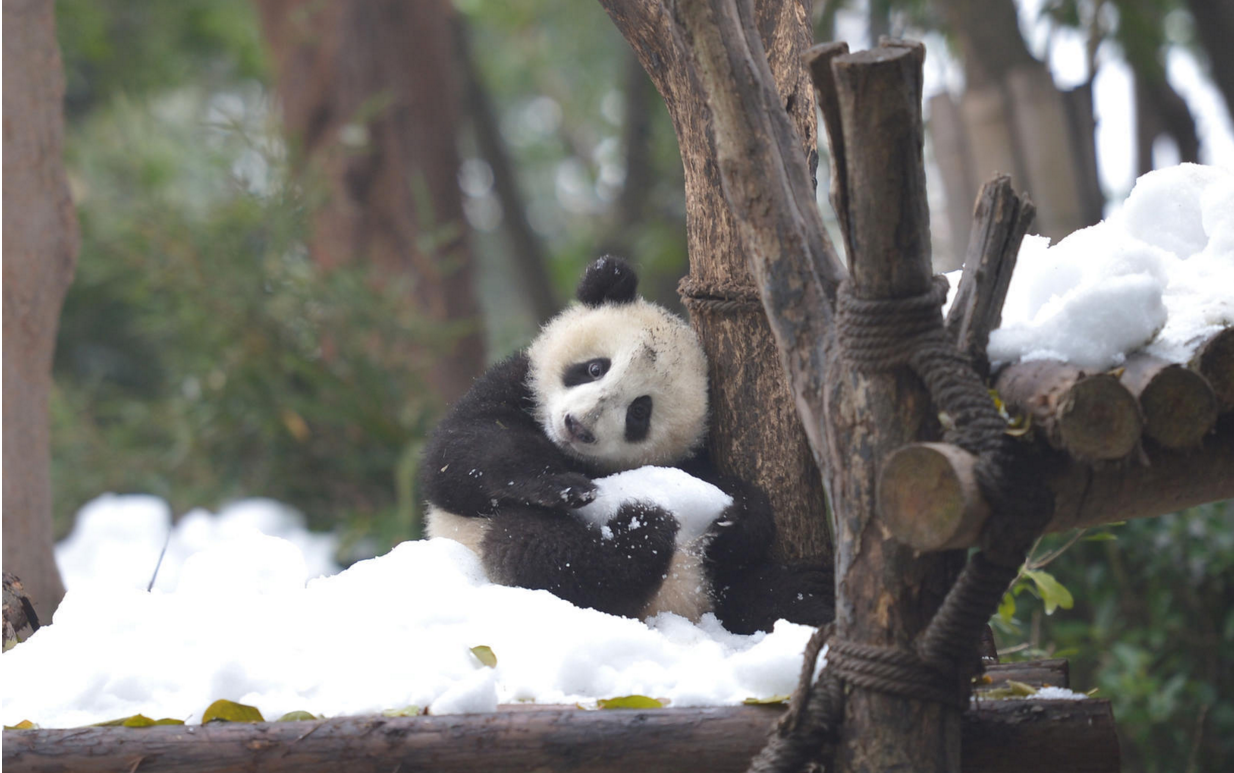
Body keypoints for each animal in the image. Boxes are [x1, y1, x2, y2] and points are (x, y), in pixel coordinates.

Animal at [419, 255, 834, 629]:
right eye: (594, 368)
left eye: (639, 412)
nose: (578, 427)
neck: (570, 454)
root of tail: (680, 608)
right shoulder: (512, 383)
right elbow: (458, 458)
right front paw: (558, 483)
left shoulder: (687, 460)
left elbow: (716, 489)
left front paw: (738, 519)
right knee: (538, 549)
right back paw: (643, 531)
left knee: (742, 589)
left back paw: (805, 595)